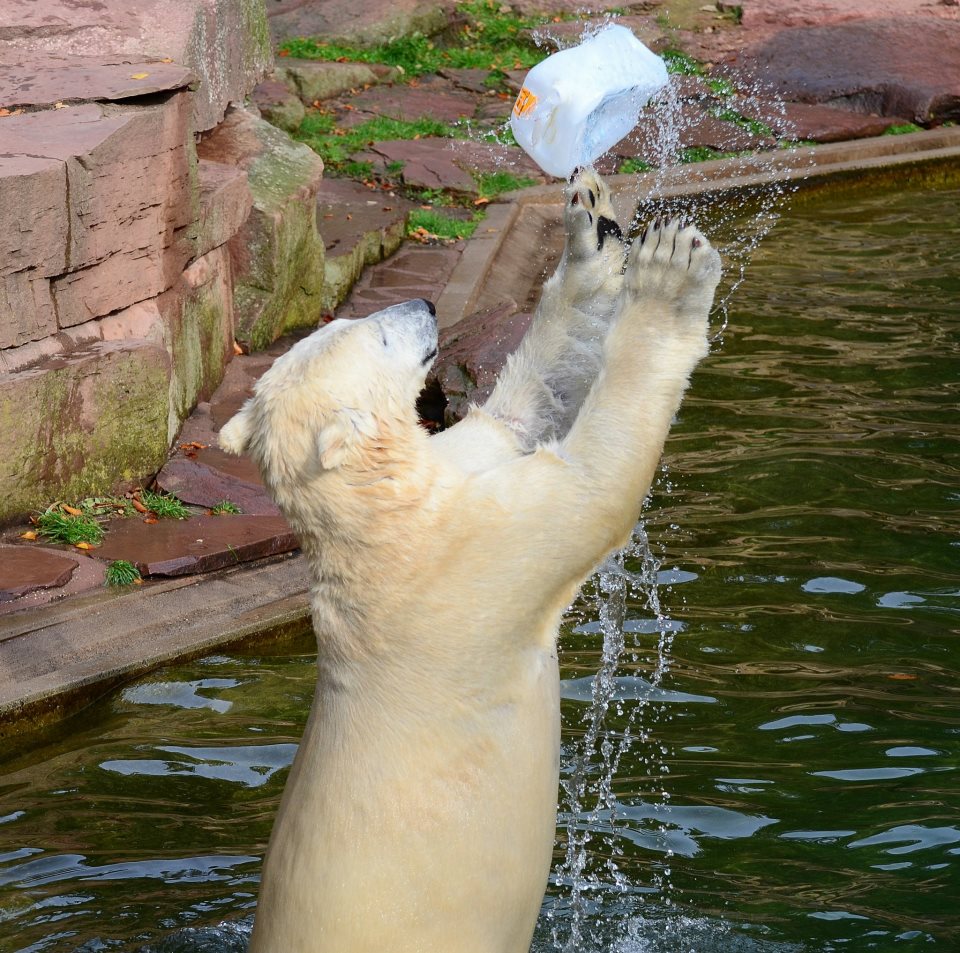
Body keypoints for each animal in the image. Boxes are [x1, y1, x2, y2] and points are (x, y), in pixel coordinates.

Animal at [218, 169, 720, 952]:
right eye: (377, 333)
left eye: (346, 322)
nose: (426, 304)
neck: (385, 526)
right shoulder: (475, 563)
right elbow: (594, 485)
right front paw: (668, 272)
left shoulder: (455, 481)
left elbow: (519, 412)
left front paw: (591, 224)